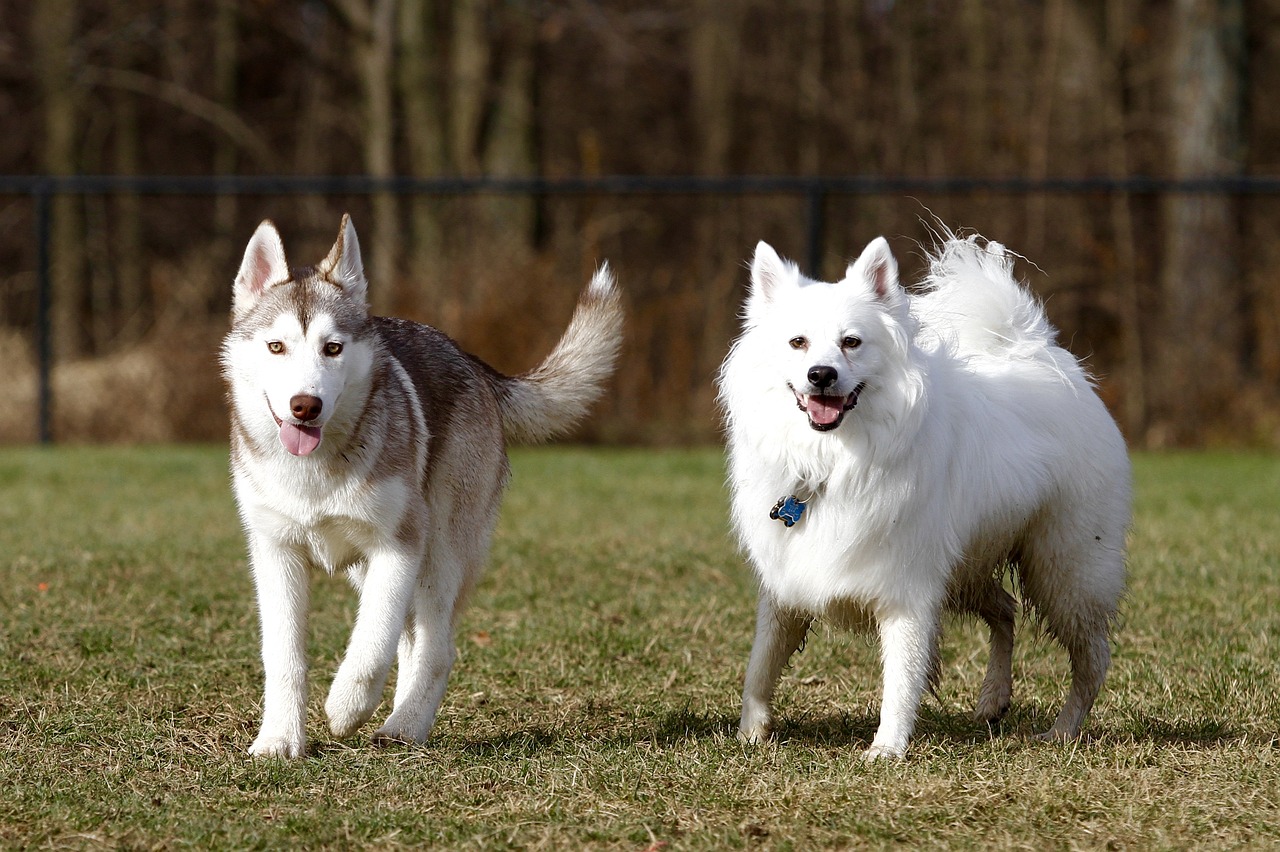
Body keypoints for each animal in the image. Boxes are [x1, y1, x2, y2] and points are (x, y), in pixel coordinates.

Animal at [222, 216, 622, 752]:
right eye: (275, 347)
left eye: (333, 348)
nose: (305, 405)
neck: (316, 473)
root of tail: (472, 362)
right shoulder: (275, 552)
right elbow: (284, 657)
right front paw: (279, 742)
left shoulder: (399, 544)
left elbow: (372, 642)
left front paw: (347, 706)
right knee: (413, 638)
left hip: (441, 551)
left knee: (435, 646)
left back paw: (405, 725)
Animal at [721, 230, 1131, 757]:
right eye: (798, 342)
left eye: (851, 342)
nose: (821, 374)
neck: (831, 460)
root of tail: (1044, 357)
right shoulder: (786, 583)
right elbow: (761, 663)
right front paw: (750, 733)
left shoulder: (907, 590)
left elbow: (901, 673)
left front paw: (887, 748)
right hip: (970, 568)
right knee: (1006, 611)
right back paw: (994, 698)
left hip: (1064, 571)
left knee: (1092, 659)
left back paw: (1062, 730)